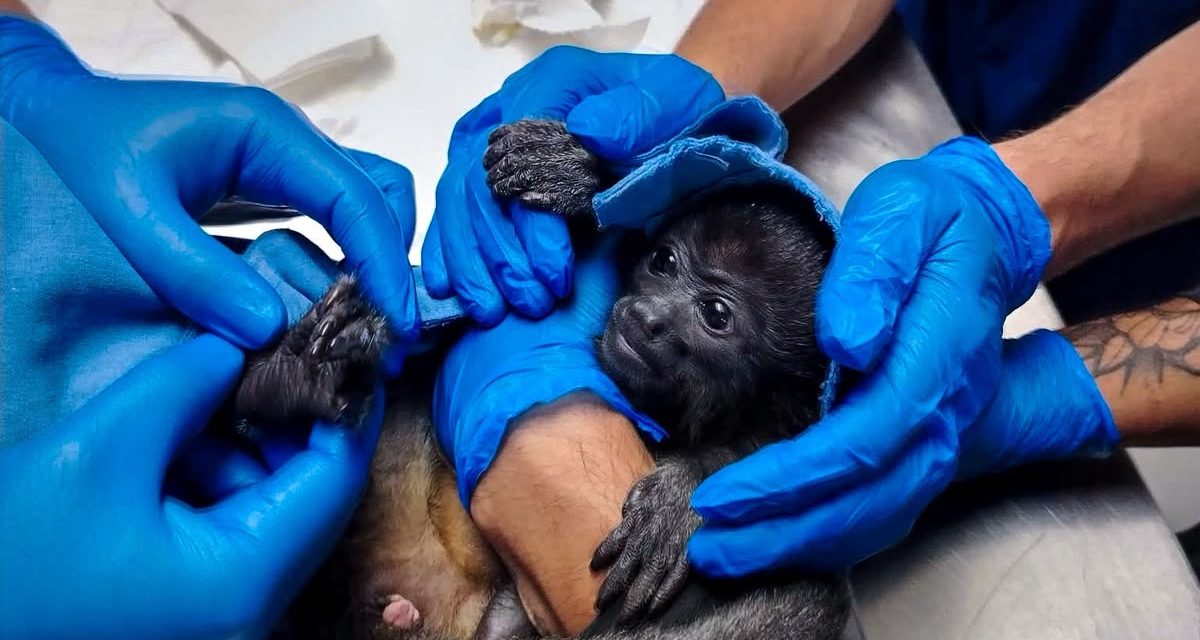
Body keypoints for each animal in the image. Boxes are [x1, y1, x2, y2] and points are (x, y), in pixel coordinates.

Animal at [228, 120, 850, 640]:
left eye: (716, 314)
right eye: (665, 263)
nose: (649, 317)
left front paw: (687, 492)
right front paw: (580, 179)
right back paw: (290, 376)